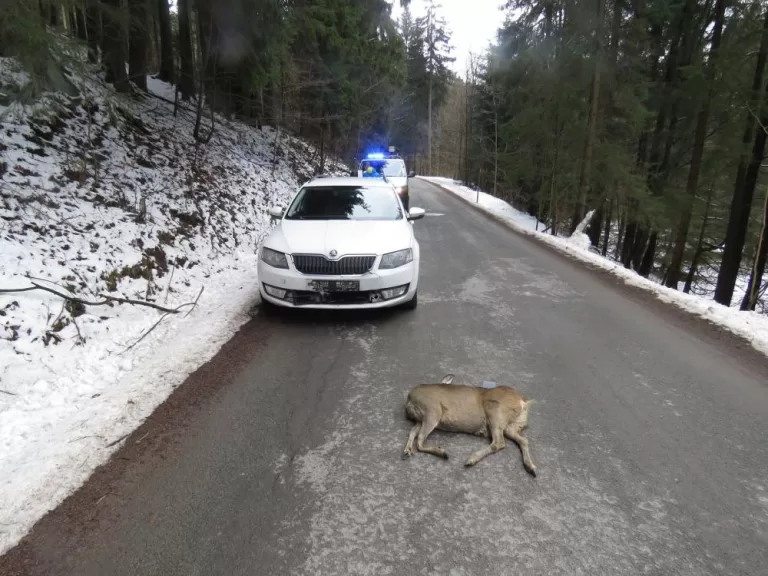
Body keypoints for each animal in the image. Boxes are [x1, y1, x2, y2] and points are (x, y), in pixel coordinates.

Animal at [400, 374, 536, 476]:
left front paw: (443, 452)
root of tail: (523, 402)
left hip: (494, 412)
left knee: (499, 442)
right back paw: (531, 468)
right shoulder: (420, 419)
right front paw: (407, 451)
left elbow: (418, 439)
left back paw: (466, 459)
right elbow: (412, 432)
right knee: (523, 440)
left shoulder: (430, 411)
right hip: (511, 425)